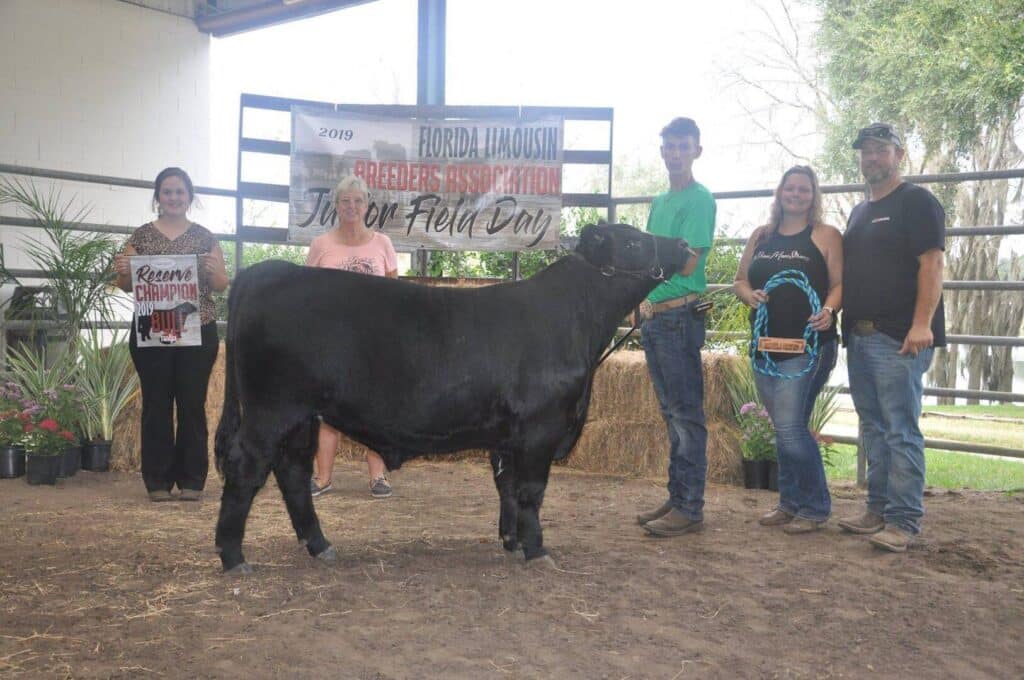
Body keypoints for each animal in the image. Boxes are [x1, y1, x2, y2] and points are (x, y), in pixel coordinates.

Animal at [214, 223, 694, 574]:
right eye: (632, 241)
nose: (684, 243)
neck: (574, 320)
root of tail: (268, 270)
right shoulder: (541, 427)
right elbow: (531, 490)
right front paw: (537, 550)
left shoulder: (509, 437)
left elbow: (508, 487)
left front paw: (510, 540)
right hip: (271, 410)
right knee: (247, 468)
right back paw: (233, 557)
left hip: (301, 415)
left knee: (292, 471)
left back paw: (318, 544)